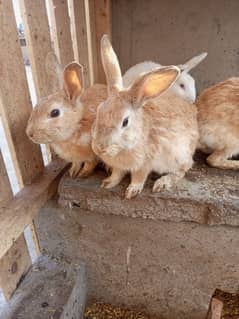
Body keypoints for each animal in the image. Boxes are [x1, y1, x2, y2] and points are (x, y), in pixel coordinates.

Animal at [90, 35, 199, 200]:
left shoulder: (144, 163)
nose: (100, 147)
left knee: (182, 170)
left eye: (125, 121)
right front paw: (108, 183)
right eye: (99, 110)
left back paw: (162, 183)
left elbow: (139, 177)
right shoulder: (119, 166)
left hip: (178, 156)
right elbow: (117, 174)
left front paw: (132, 191)